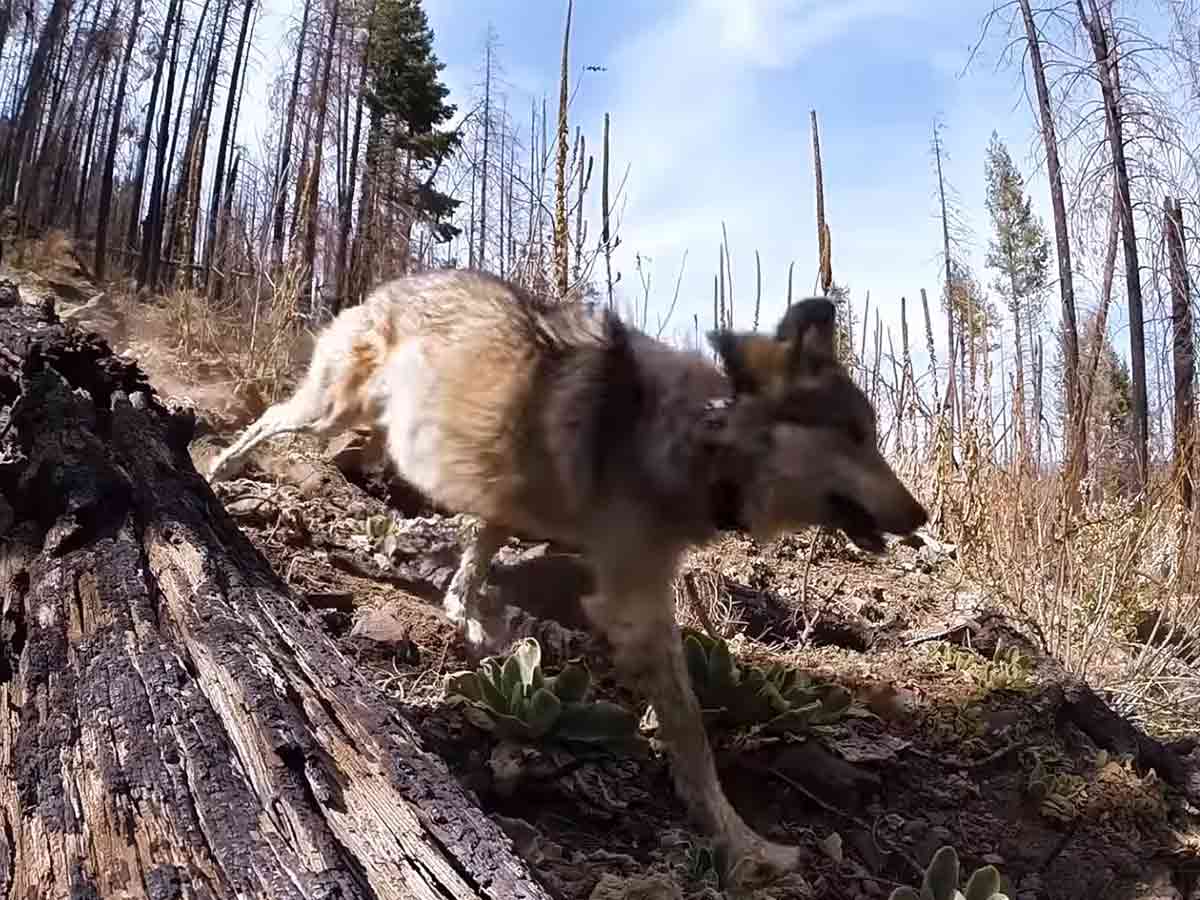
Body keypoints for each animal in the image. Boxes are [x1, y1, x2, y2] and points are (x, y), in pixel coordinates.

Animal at [211, 270, 926, 897]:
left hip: (483, 481)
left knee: (466, 570)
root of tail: (395, 283)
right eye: (856, 435)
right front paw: (742, 843)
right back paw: (221, 468)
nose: (922, 517)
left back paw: (475, 623)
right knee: (270, 416)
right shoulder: (637, 606)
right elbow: (692, 735)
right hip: (332, 413)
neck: (704, 437)